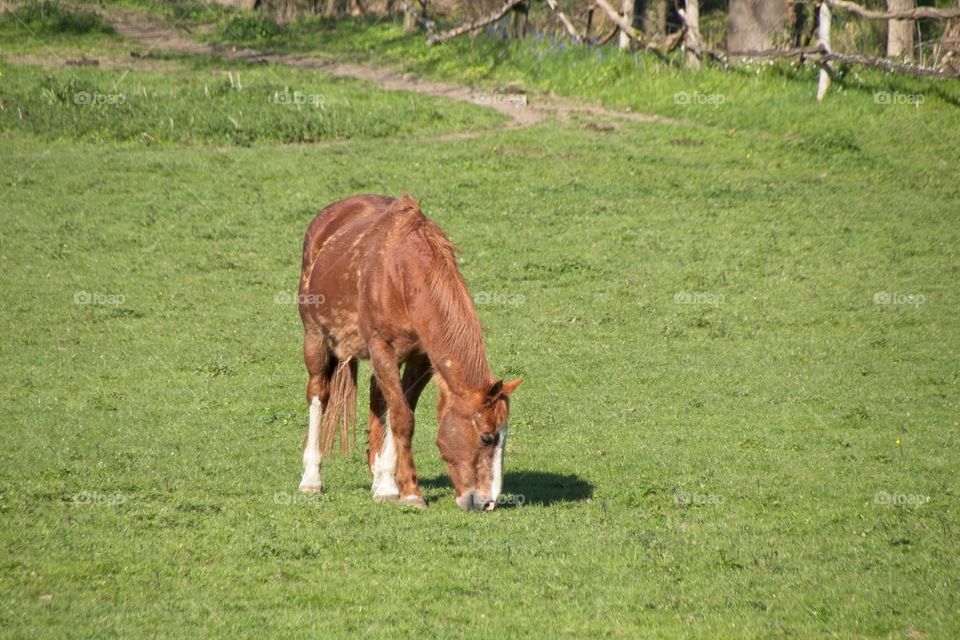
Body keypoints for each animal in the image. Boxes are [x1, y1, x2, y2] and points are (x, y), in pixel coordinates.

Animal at [296, 194, 522, 511]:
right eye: (488, 437)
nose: (488, 502)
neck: (402, 275)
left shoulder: (422, 359)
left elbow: (401, 410)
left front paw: (390, 484)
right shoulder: (382, 348)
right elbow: (403, 418)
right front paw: (411, 492)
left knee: (378, 397)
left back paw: (379, 476)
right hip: (315, 339)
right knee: (319, 395)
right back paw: (311, 479)